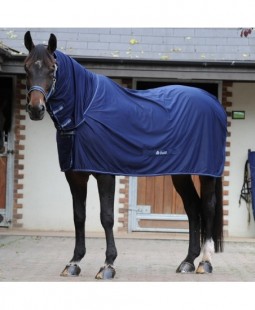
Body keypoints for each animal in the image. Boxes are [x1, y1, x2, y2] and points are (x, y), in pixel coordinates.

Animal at [23, 30, 227, 278]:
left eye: (52, 69)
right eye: (26, 67)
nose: (36, 109)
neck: (85, 110)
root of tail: (214, 103)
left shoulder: (104, 174)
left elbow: (107, 217)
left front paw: (108, 265)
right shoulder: (75, 176)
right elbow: (78, 216)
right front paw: (74, 262)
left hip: (207, 174)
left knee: (207, 207)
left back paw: (204, 262)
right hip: (181, 173)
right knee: (193, 208)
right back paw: (187, 261)